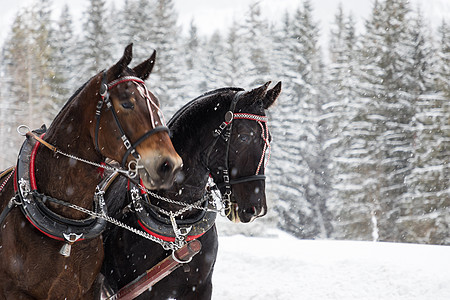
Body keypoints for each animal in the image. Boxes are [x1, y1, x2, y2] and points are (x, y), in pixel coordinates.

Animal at [100, 81, 282, 298]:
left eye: (269, 139)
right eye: (245, 137)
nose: (257, 209)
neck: (178, 222)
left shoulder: (201, 287)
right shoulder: (135, 290)